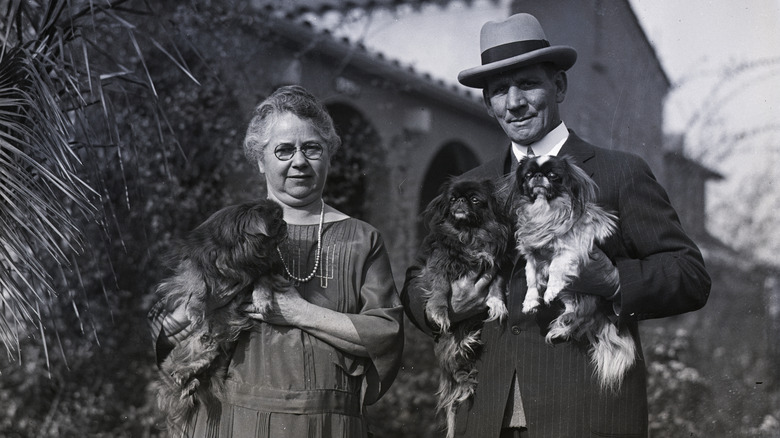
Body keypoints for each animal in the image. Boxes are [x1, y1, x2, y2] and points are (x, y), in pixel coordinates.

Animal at [151, 198, 288, 432]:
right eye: (276, 220)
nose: (286, 224)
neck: (243, 252)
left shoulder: (262, 269)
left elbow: (263, 279)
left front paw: (262, 300)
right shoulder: (197, 262)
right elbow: (197, 283)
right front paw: (195, 309)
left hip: (217, 349)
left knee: (202, 363)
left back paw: (188, 380)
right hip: (176, 352)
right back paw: (185, 378)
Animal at [418, 176, 516, 436]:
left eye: (474, 199)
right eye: (453, 198)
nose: (460, 201)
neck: (469, 235)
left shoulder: (497, 264)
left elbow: (497, 283)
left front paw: (497, 302)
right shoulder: (440, 262)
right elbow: (441, 287)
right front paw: (439, 311)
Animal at [512, 156, 632, 392]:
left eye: (553, 176)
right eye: (528, 175)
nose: (537, 176)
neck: (545, 211)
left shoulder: (572, 249)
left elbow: (556, 266)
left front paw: (549, 291)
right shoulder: (532, 256)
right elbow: (531, 280)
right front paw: (530, 302)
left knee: (581, 312)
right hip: (571, 293)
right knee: (575, 310)